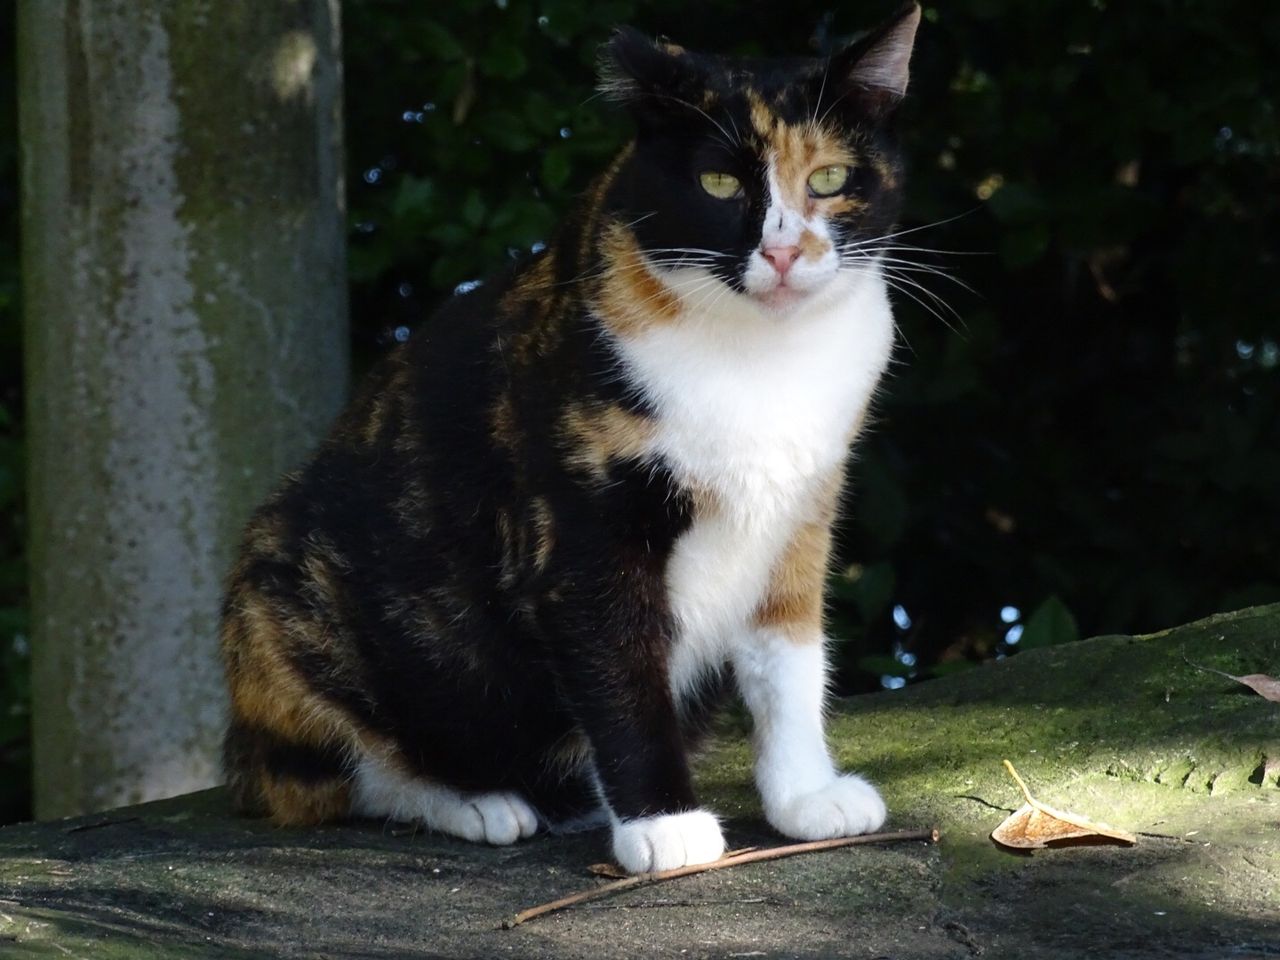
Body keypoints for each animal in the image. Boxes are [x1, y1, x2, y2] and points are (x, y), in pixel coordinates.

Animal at [221, 2, 921, 874]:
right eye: (719, 182)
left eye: (829, 179)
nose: (785, 250)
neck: (762, 356)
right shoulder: (580, 526)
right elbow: (621, 670)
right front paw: (664, 823)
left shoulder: (803, 507)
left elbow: (788, 657)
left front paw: (803, 795)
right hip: (276, 594)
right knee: (335, 778)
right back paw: (475, 802)